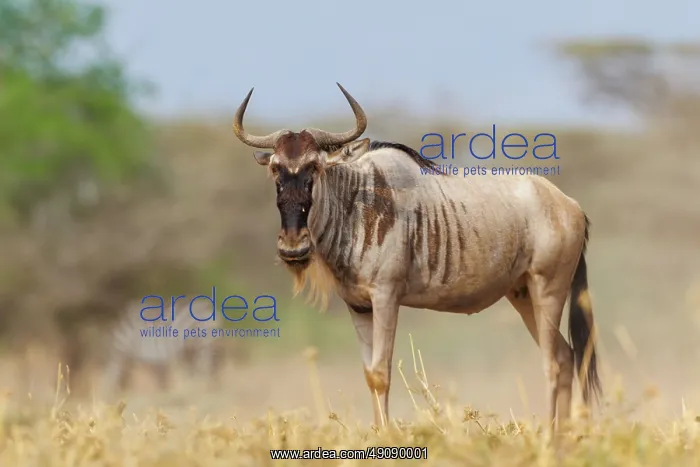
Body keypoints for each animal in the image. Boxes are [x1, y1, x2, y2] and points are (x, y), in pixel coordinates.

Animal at [230, 83, 601, 431]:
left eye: (314, 167)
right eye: (276, 169)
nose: (293, 247)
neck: (356, 204)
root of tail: (571, 205)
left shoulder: (386, 297)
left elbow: (382, 372)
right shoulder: (358, 306)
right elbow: (370, 375)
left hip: (548, 290)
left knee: (553, 362)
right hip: (522, 295)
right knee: (566, 356)